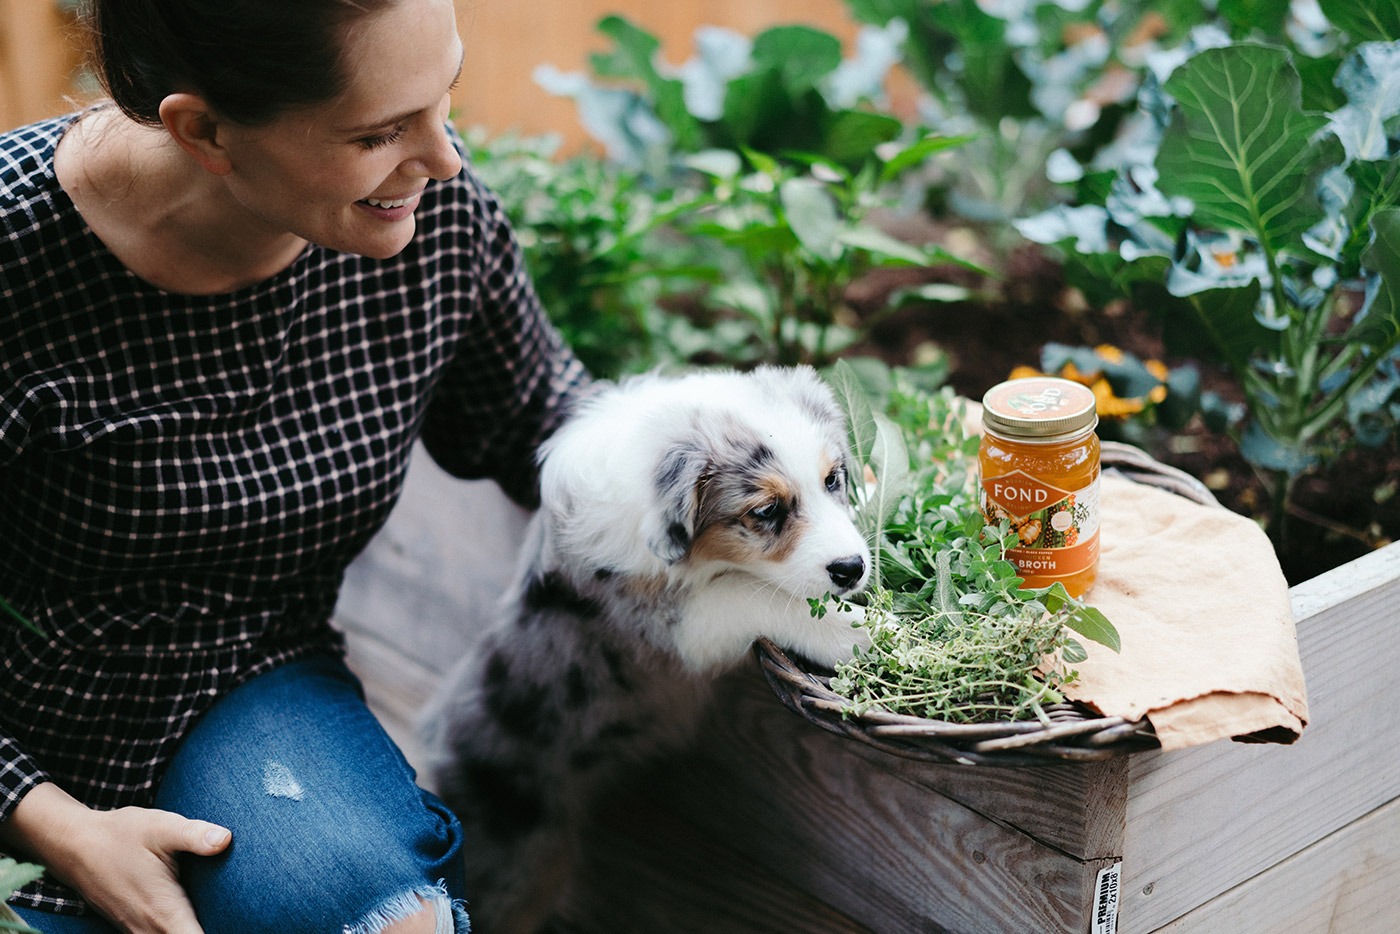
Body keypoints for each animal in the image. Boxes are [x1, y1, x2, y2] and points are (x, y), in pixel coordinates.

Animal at [420, 366, 868, 934]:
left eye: (833, 479)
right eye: (766, 510)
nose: (853, 567)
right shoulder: (664, 620)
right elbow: (753, 592)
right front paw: (864, 631)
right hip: (521, 865)